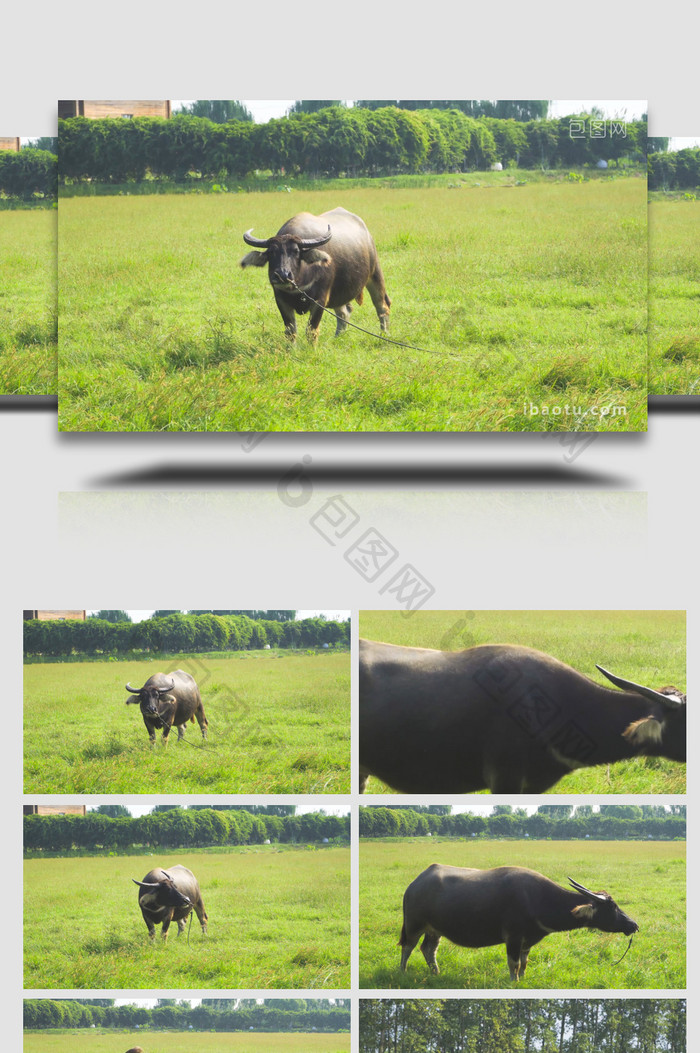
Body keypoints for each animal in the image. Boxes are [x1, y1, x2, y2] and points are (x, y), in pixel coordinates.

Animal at [242, 209, 389, 345]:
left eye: (296, 251)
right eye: (271, 253)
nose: (282, 275)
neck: (299, 285)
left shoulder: (320, 300)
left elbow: (311, 330)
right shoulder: (281, 300)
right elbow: (290, 331)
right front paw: (291, 349)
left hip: (375, 273)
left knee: (382, 306)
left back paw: (384, 335)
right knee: (344, 312)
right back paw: (337, 337)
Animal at [397, 863, 640, 977]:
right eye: (612, 906)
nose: (634, 925)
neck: (538, 899)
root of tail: (414, 884)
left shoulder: (528, 940)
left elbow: (524, 963)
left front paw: (522, 978)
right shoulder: (512, 937)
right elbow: (513, 965)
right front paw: (513, 981)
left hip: (434, 929)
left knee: (428, 949)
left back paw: (436, 972)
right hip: (414, 925)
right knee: (408, 947)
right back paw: (403, 971)